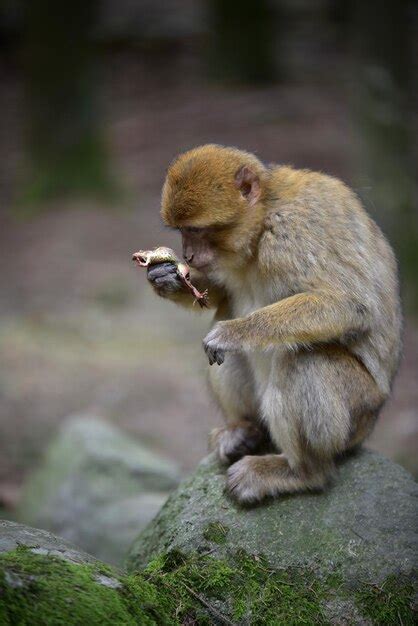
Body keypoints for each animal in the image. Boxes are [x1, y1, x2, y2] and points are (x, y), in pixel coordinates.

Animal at [146, 143, 402, 502]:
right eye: (181, 231)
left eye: (195, 230)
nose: (189, 255)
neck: (262, 222)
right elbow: (220, 294)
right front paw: (166, 277)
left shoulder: (293, 232)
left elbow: (351, 305)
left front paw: (232, 332)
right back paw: (245, 430)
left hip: (359, 414)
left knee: (304, 361)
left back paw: (302, 472)